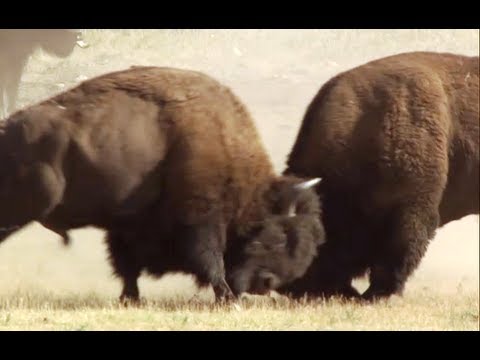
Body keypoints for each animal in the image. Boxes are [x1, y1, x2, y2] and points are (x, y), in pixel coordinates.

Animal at [0, 65, 326, 300]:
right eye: (281, 237)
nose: (266, 283)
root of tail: (6, 129)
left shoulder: (128, 225)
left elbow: (127, 265)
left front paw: (130, 298)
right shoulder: (202, 220)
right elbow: (210, 261)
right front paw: (226, 297)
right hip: (18, 213)